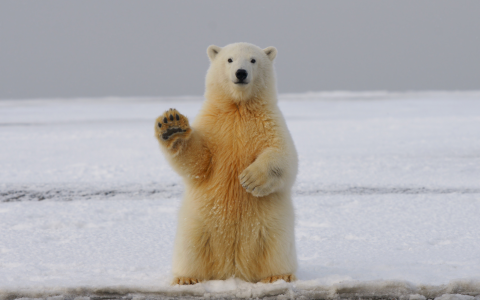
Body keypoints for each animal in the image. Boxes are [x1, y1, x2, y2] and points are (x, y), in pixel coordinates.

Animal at [155, 41, 296, 284]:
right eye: (229, 59)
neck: (238, 107)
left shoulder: (270, 123)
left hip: (273, 225)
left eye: (253, 60)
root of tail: (232, 269)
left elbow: (284, 156)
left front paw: (250, 179)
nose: (241, 73)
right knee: (191, 248)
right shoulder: (214, 126)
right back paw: (186, 278)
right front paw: (172, 125)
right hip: (198, 224)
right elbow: (199, 161)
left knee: (276, 247)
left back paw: (279, 276)